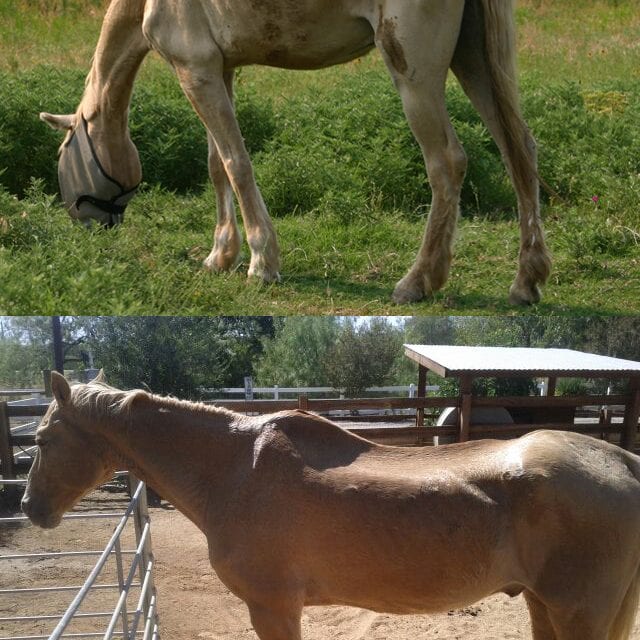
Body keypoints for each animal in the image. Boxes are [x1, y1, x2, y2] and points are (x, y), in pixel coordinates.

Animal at [21, 372, 640, 636]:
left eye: (43, 439)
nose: (29, 507)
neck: (235, 468)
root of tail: (622, 462)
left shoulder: (273, 606)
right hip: (544, 605)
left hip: (577, 612)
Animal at [40, 0, 552, 304]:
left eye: (64, 149)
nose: (86, 223)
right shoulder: (216, 71)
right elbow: (217, 166)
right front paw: (220, 256)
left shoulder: (195, 71)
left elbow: (236, 163)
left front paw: (261, 263)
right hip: (474, 60)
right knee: (519, 151)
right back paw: (526, 281)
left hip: (416, 75)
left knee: (447, 163)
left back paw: (417, 281)